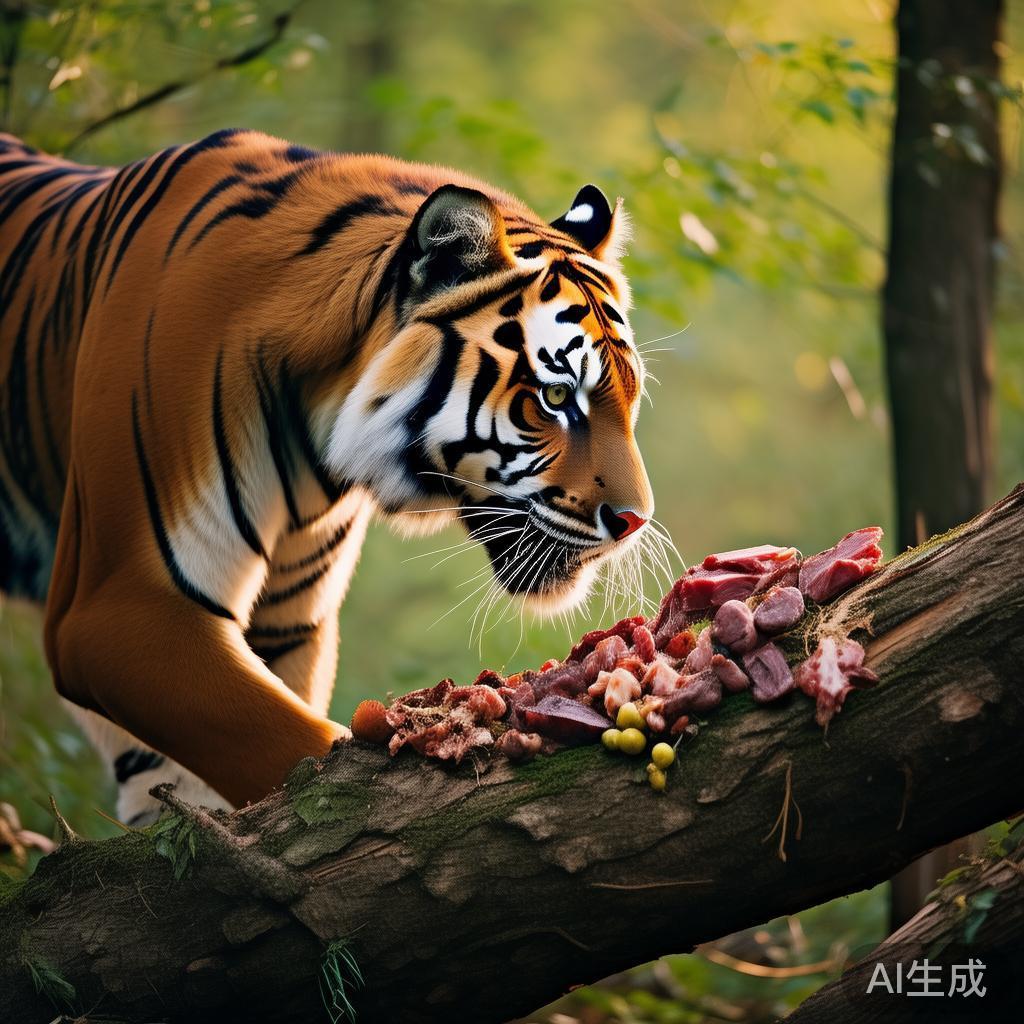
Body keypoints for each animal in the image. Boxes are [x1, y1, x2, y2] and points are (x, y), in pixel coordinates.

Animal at [0, 128, 654, 825]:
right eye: (555, 396)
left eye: (630, 394)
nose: (634, 521)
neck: (314, 423)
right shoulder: (118, 606)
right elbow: (287, 749)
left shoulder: (290, 626)